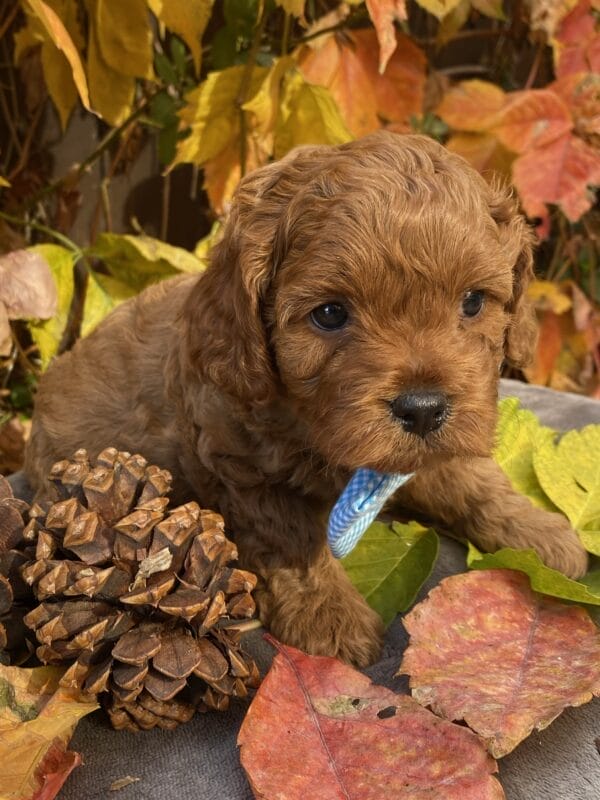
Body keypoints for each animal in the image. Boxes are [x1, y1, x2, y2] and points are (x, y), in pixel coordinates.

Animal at [25, 134, 588, 664]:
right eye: (330, 314)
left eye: (473, 302)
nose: (423, 407)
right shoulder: (237, 465)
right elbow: (289, 535)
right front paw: (328, 614)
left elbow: (471, 477)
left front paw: (537, 532)